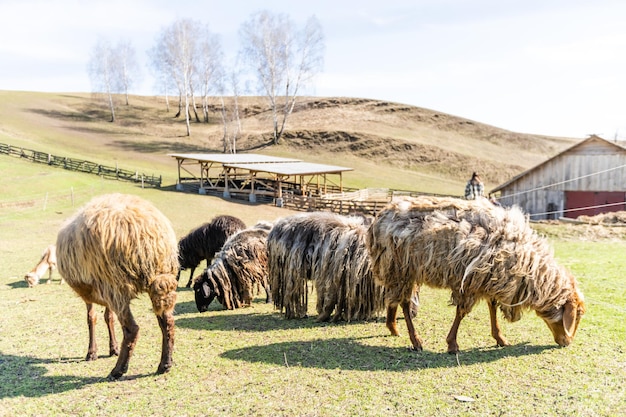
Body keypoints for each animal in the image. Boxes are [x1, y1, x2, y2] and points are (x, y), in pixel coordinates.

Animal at [54, 193, 179, 378]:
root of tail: (146, 233)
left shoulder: (93, 291)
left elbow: (91, 318)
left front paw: (92, 352)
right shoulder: (103, 289)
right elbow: (108, 317)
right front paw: (112, 348)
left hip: (117, 285)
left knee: (131, 329)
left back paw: (118, 370)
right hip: (157, 281)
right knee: (167, 322)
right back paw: (165, 364)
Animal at [366, 195, 584, 352]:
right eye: (577, 315)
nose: (567, 342)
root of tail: (380, 216)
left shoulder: (490, 278)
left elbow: (492, 307)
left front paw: (500, 338)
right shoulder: (471, 281)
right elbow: (462, 312)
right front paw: (452, 344)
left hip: (400, 270)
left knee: (394, 298)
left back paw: (393, 327)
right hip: (400, 268)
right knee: (404, 302)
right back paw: (415, 340)